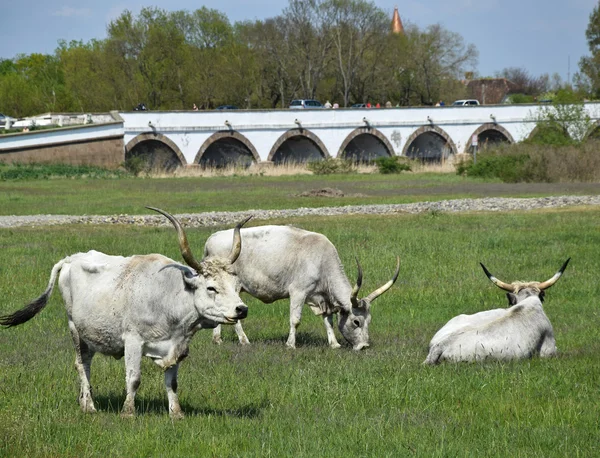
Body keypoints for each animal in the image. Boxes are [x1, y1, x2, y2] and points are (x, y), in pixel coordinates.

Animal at [0, 208, 248, 418]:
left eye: (234, 284)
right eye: (211, 288)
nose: (242, 309)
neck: (169, 297)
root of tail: (72, 258)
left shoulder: (178, 344)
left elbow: (172, 382)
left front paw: (176, 414)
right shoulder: (133, 341)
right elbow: (134, 378)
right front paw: (128, 412)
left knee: (86, 363)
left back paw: (83, 401)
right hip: (74, 328)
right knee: (81, 365)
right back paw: (89, 406)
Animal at [202, 225, 398, 350]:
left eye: (369, 321)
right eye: (356, 322)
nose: (364, 346)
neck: (322, 260)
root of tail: (212, 239)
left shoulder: (322, 298)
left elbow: (328, 320)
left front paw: (334, 344)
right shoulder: (298, 292)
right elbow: (295, 320)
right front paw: (290, 345)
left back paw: (217, 339)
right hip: (233, 287)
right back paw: (244, 340)